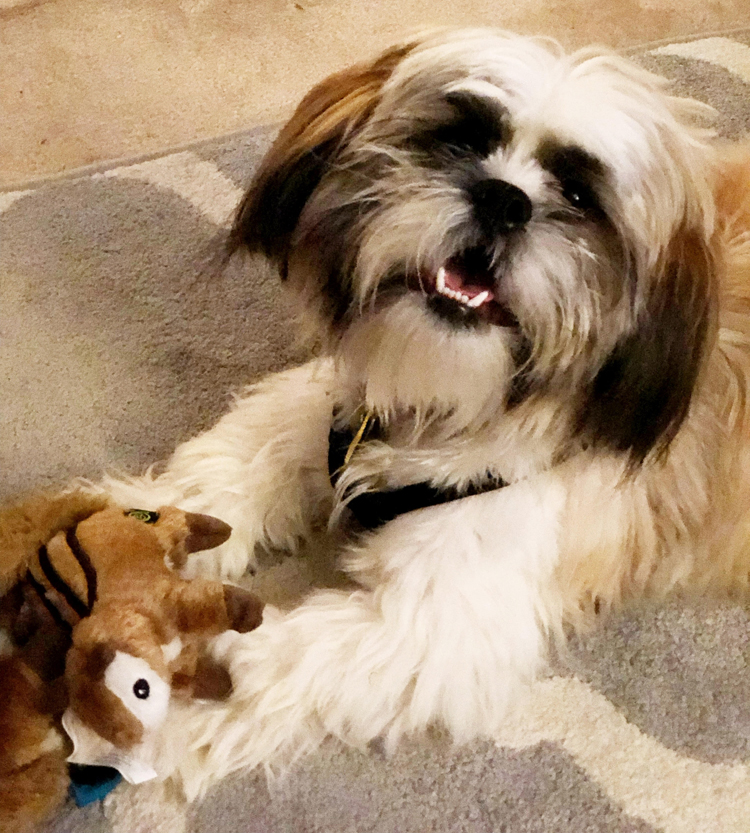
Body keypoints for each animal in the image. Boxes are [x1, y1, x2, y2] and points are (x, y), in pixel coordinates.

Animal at [104, 29, 750, 796]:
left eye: (578, 194)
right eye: (461, 139)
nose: (503, 200)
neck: (447, 410)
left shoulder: (432, 622)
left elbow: (270, 663)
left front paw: (144, 707)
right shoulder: (328, 412)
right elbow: (231, 465)